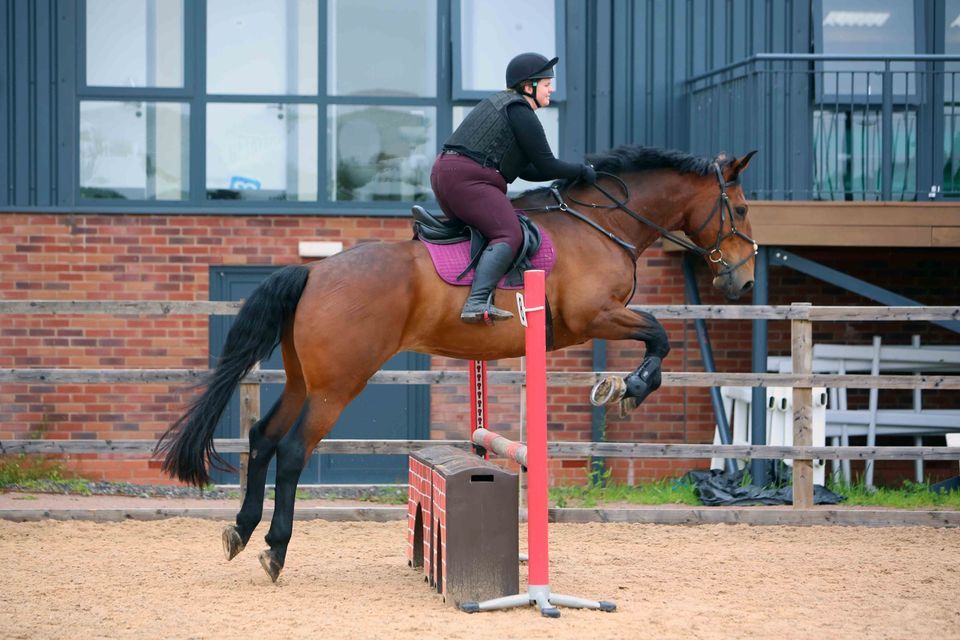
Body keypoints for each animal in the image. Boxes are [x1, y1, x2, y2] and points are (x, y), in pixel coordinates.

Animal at [156, 146, 756, 584]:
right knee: (293, 450)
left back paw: (241, 531)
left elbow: (658, 336)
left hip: (306, 379)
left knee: (262, 436)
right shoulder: (597, 316)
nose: (744, 281)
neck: (600, 226)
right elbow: (659, 336)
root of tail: (314, 272)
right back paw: (275, 551)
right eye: (745, 209)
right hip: (338, 384)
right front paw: (628, 388)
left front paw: (623, 387)